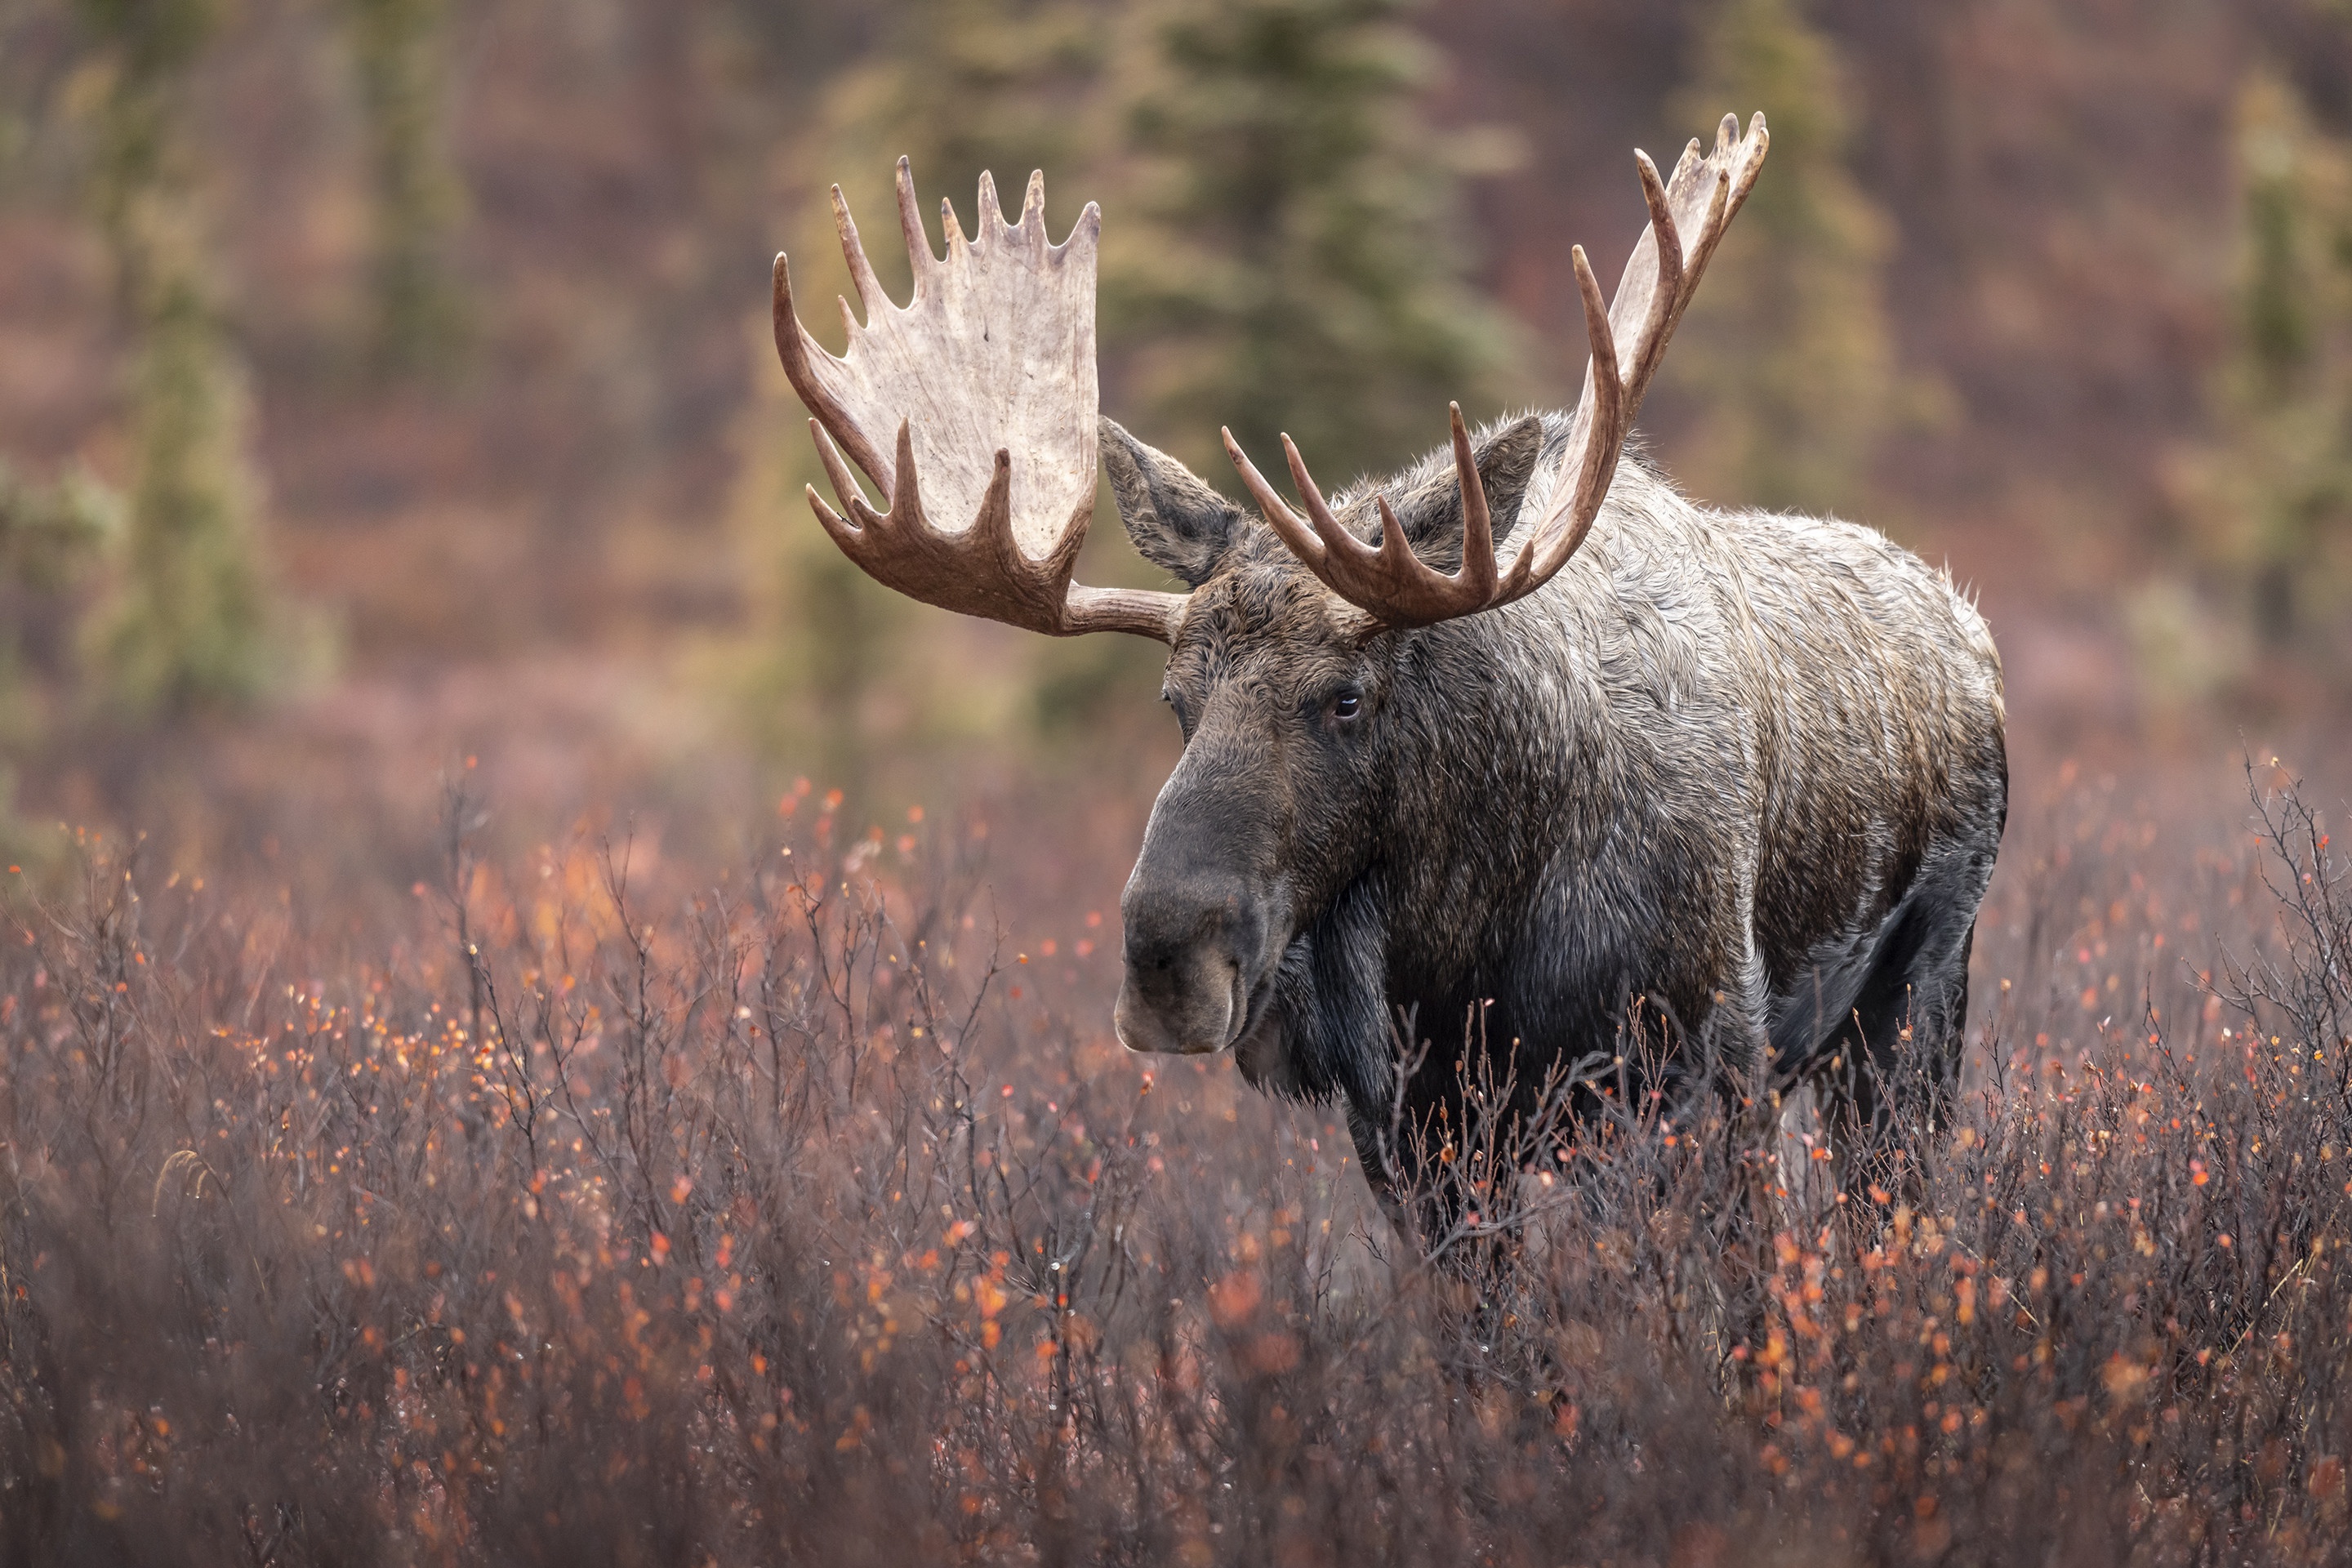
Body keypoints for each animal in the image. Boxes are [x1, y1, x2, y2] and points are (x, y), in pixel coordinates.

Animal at [768, 113, 2008, 1238]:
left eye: (1348, 697)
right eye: (1175, 703)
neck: (1464, 940)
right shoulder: (1417, 1137)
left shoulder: (1707, 1072)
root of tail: (1970, 625)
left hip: (1916, 1006)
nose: (1167, 963)